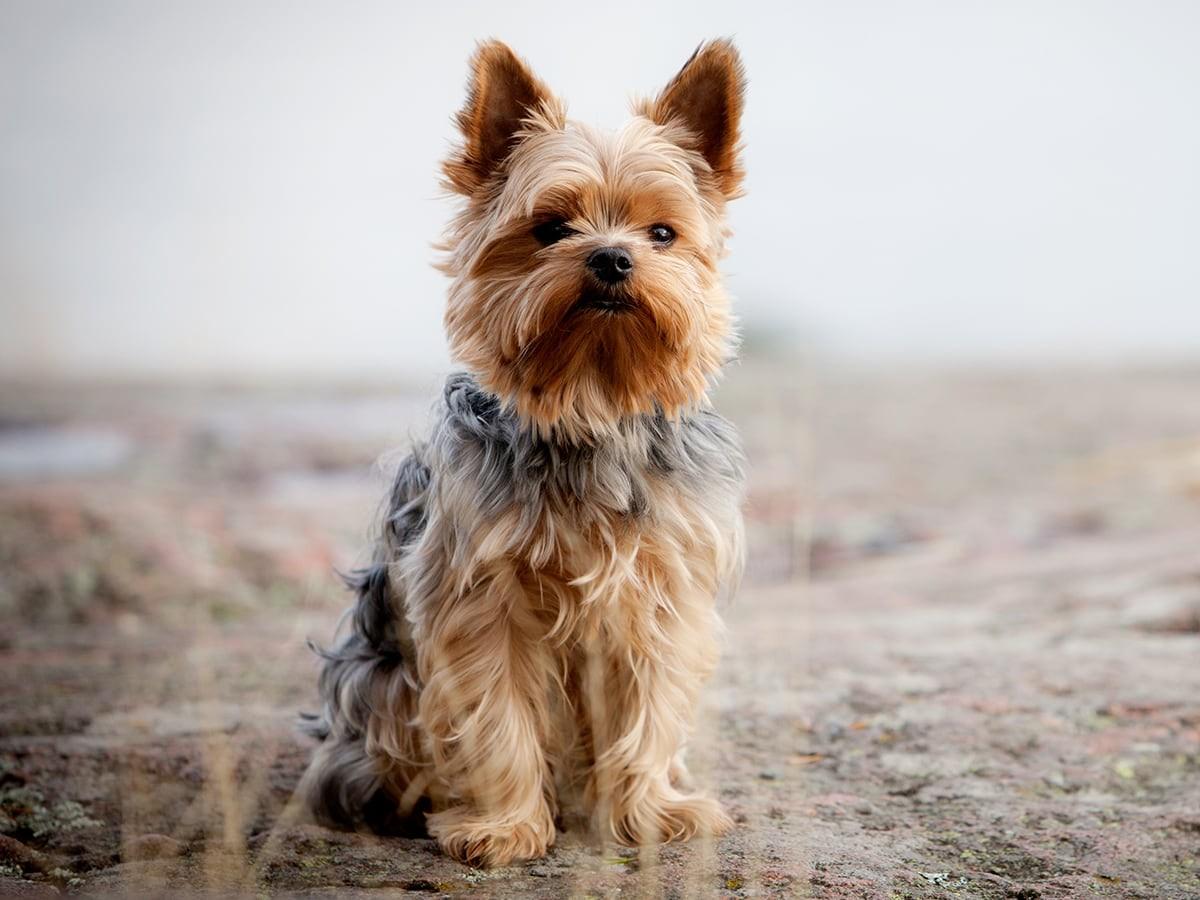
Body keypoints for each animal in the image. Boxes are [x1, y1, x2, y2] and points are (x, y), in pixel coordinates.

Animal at [300, 37, 744, 868]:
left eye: (662, 234)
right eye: (551, 227)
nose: (611, 259)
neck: (590, 402)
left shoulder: (658, 592)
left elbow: (650, 706)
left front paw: (649, 812)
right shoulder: (480, 598)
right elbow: (496, 713)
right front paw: (504, 826)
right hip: (382, 682)